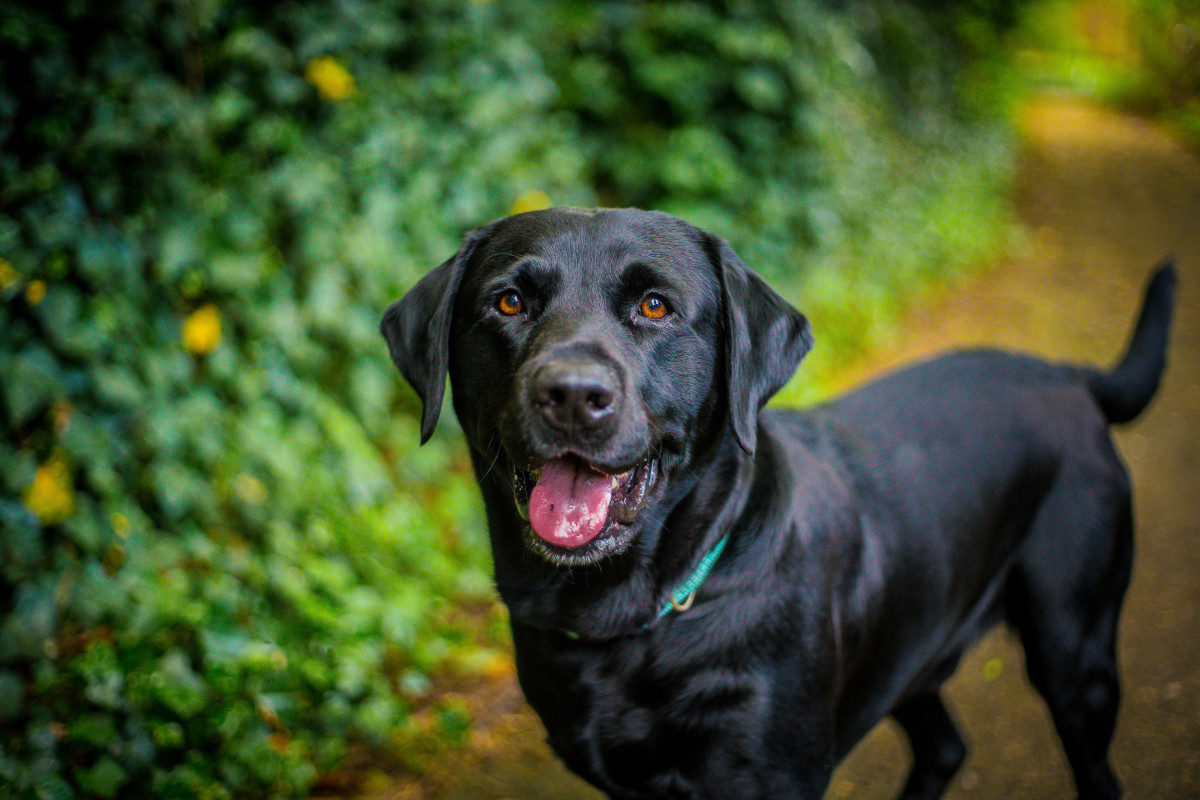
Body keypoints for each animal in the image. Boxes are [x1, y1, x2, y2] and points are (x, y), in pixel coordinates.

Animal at [381, 208, 1171, 800]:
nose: (573, 393)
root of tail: (1068, 374)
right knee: (945, 747)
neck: (637, 618)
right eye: (509, 301)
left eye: (655, 305)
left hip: (1075, 649)